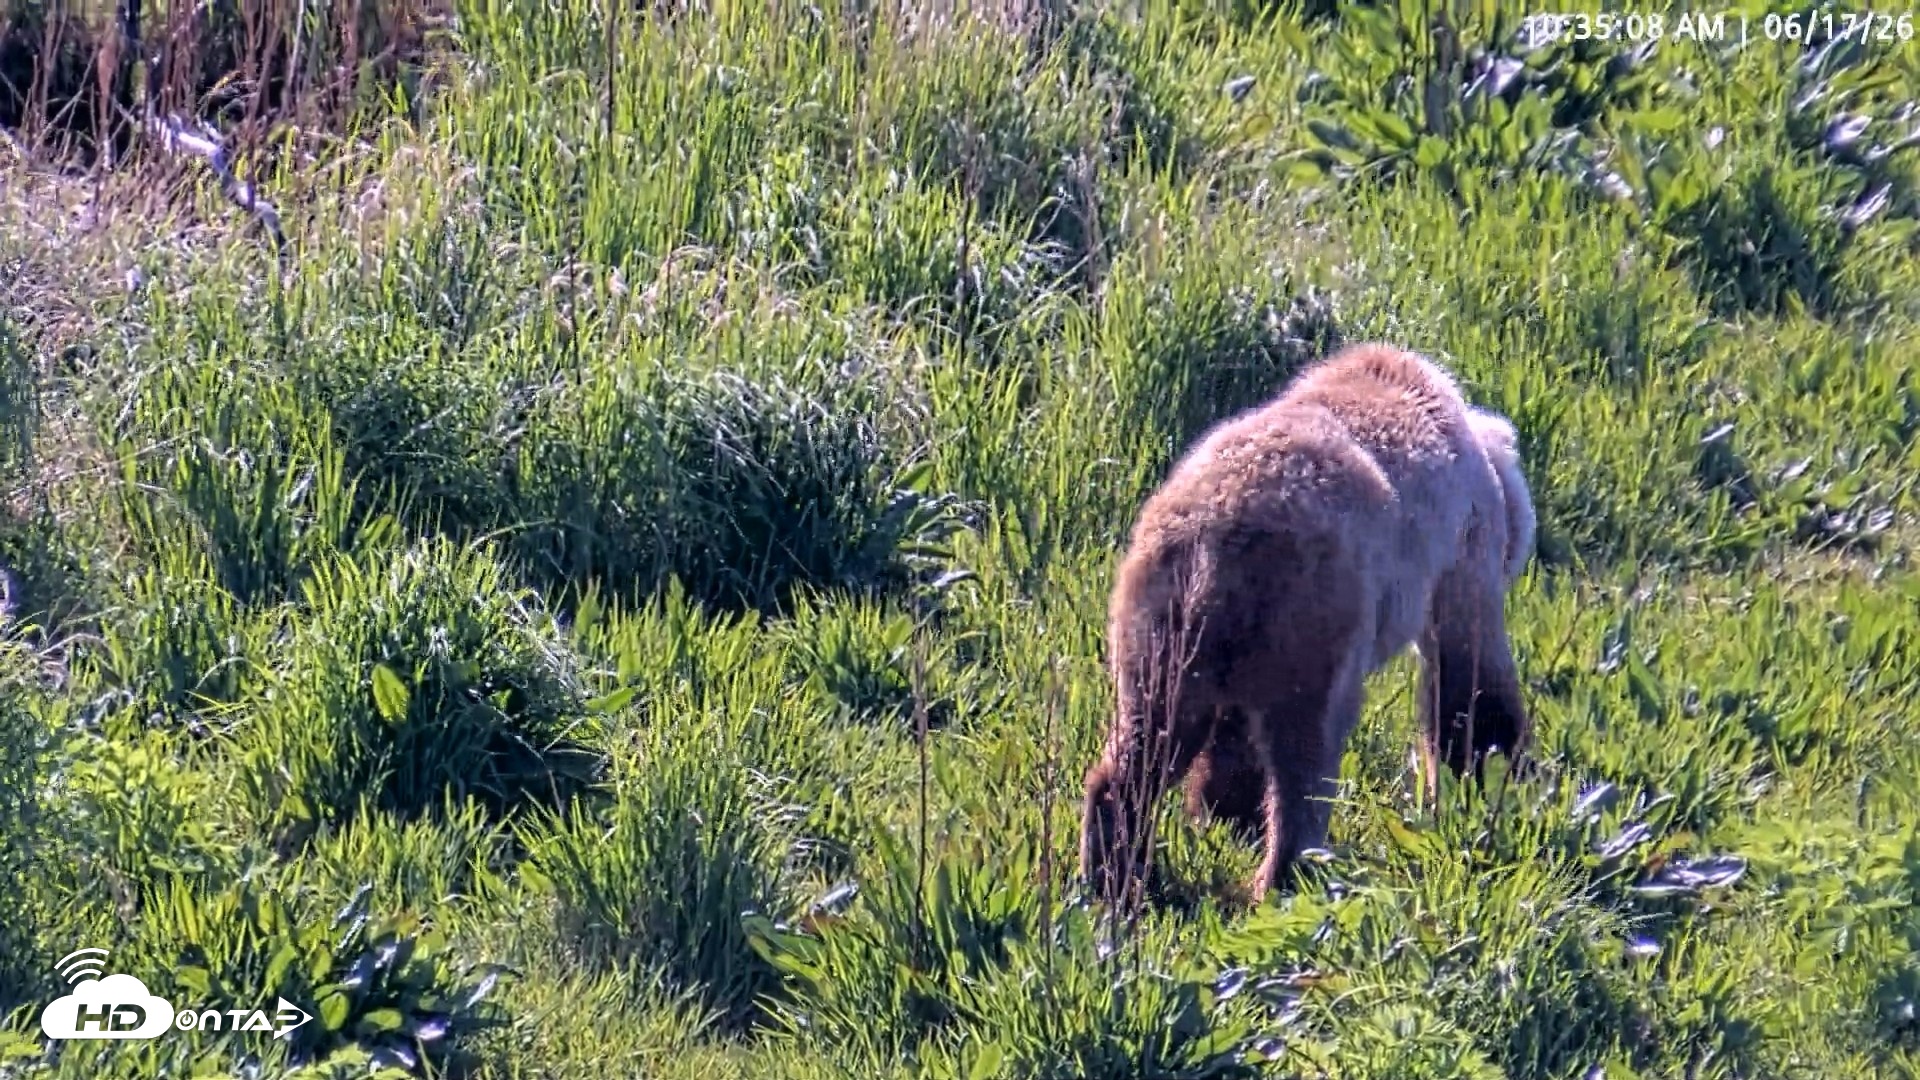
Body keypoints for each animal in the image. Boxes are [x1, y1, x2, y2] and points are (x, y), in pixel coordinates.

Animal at [1078, 342, 1536, 908]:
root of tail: (1217, 543)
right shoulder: (1458, 549)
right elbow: (1468, 678)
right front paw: (1489, 773)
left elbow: (1232, 743)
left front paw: (1227, 812)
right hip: (1315, 616)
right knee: (1307, 753)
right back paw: (1292, 871)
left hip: (1164, 620)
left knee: (1152, 735)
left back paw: (1115, 873)